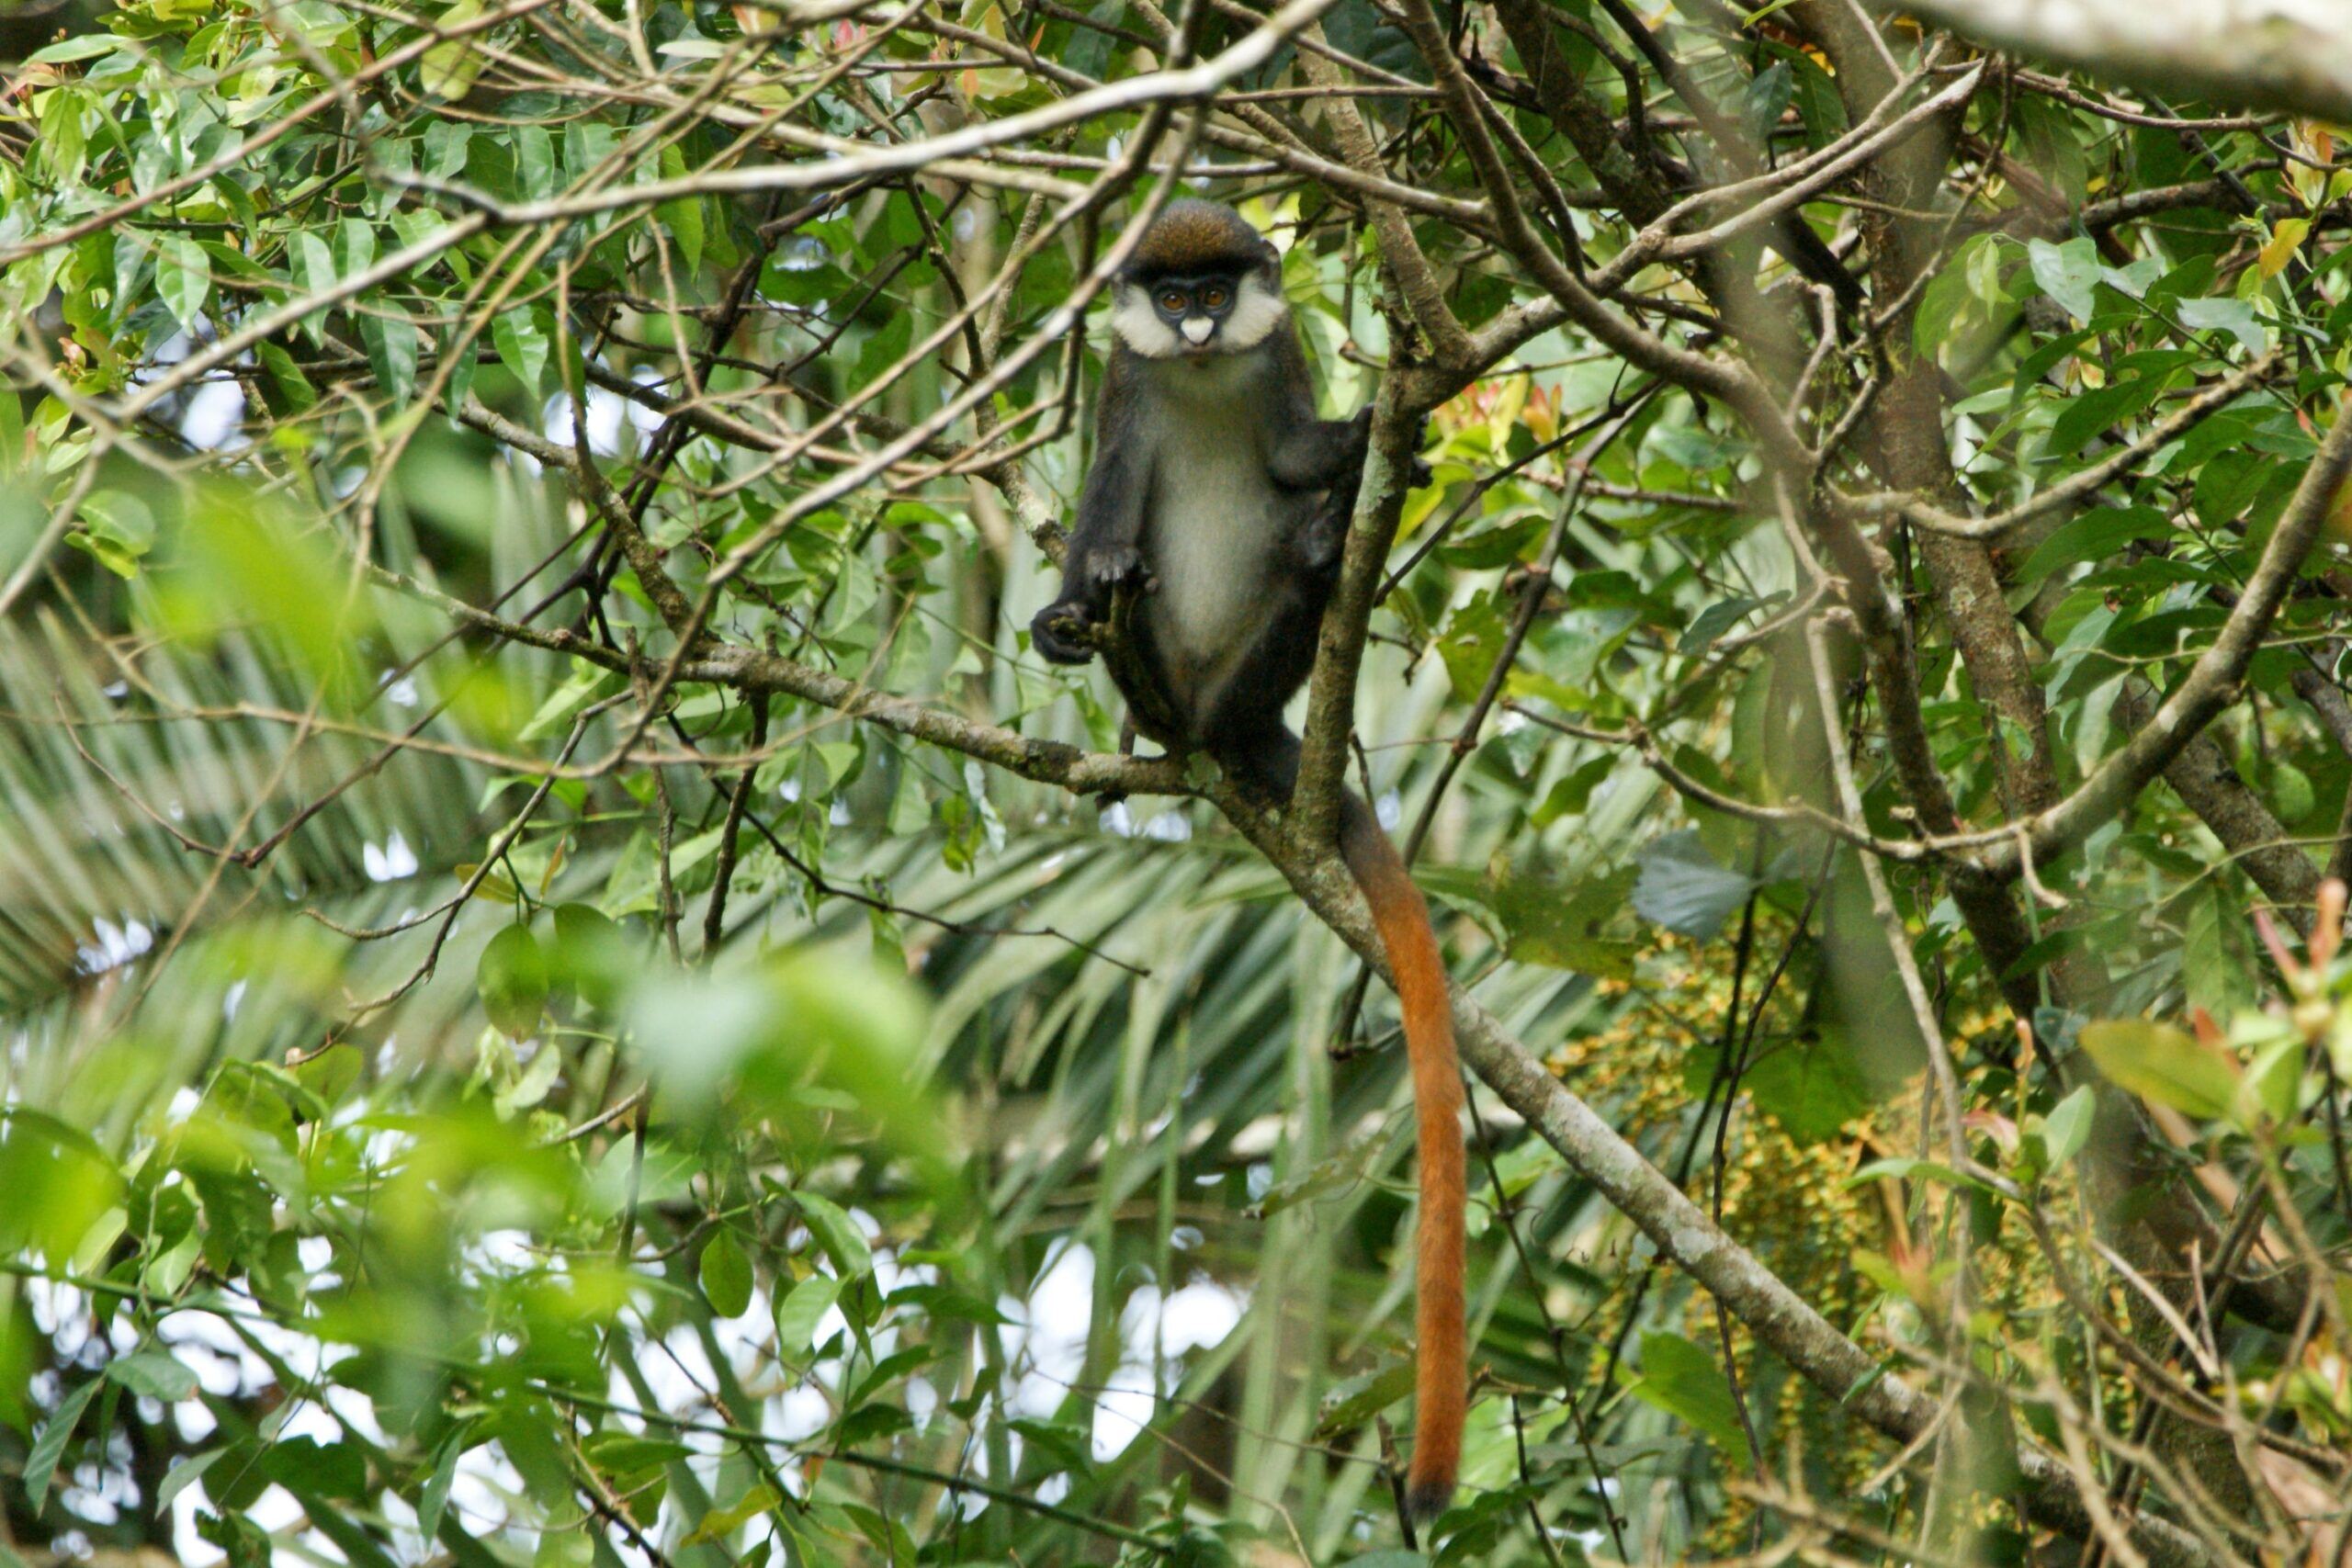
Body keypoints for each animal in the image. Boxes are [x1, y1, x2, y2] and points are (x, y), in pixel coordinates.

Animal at [1030, 200, 1465, 1523]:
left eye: (1216, 289)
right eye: (1171, 298)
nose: (1196, 324)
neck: (1210, 377)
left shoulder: (1273, 366)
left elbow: (1292, 461)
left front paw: (1371, 441)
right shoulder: (1126, 390)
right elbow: (1105, 519)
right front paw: (1063, 611)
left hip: (1257, 671)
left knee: (1294, 578)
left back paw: (1320, 563)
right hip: (1167, 673)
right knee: (1134, 604)